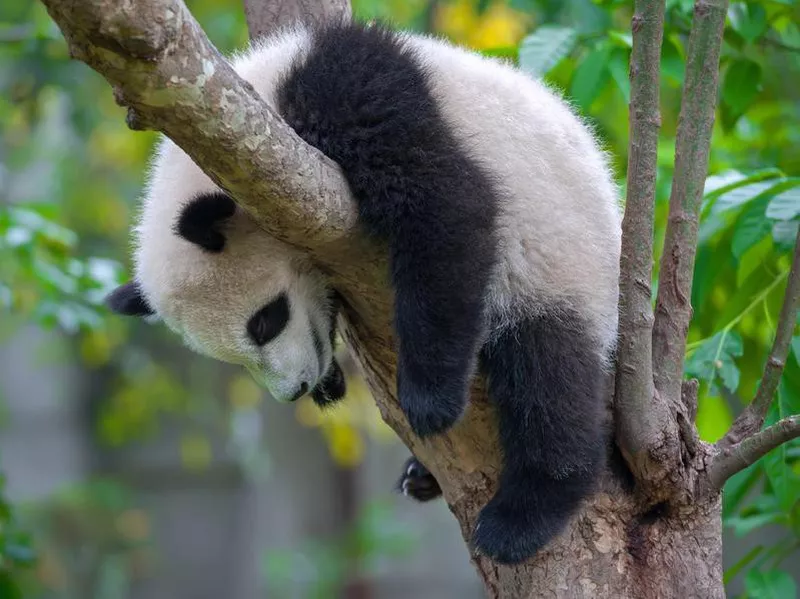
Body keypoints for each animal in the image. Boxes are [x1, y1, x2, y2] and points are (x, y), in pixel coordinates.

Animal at [104, 19, 620, 568]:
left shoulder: (350, 94)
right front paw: (333, 379)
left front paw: (430, 401)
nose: (296, 390)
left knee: (547, 377)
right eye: (232, 356)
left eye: (266, 320)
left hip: (560, 266)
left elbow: (446, 204)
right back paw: (422, 477)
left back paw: (522, 517)